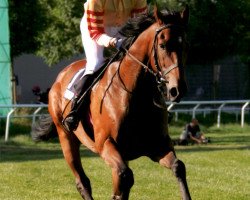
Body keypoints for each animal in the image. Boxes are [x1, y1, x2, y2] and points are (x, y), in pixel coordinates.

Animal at [33, 5, 191, 199]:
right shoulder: (106, 144)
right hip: (66, 136)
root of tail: (60, 77)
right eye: (162, 45)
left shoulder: (157, 145)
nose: (177, 89)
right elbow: (124, 176)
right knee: (83, 181)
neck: (136, 95)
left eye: (185, 46)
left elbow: (178, 166)